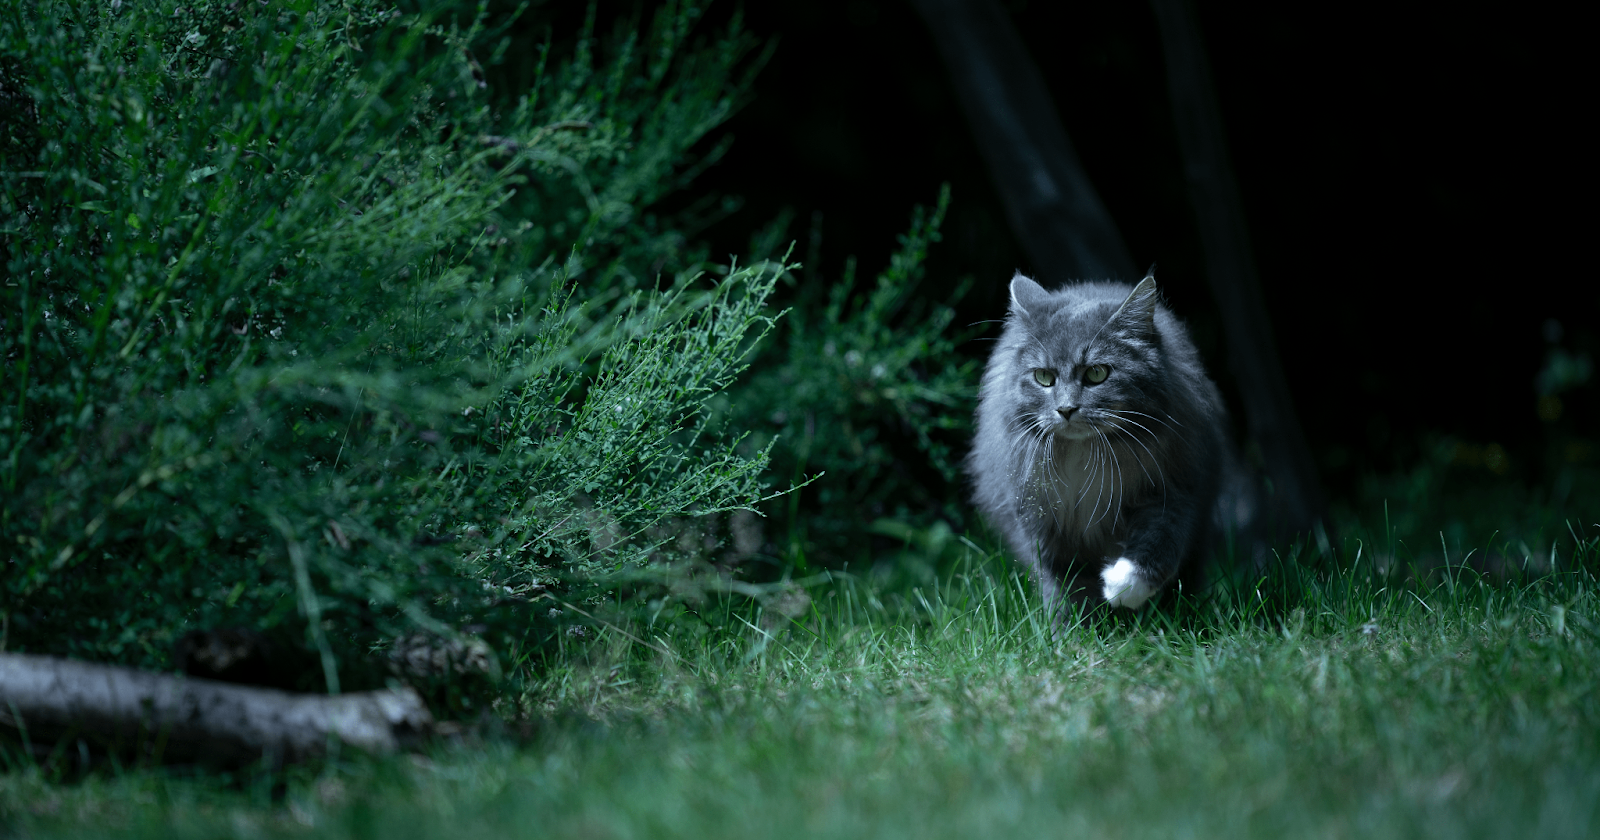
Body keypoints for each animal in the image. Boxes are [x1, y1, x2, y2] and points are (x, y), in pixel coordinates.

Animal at [966, 275, 1228, 608]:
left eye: (1096, 373)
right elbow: (1066, 587)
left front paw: (1123, 588)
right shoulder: (1044, 523)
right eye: (1043, 377)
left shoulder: (1176, 489)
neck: (1083, 455)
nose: (1066, 409)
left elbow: (1160, 540)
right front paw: (1077, 621)